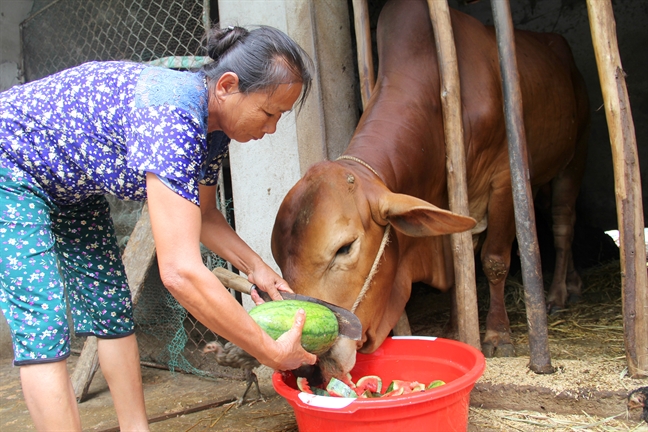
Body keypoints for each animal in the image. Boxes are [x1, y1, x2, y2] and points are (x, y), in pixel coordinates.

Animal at [270, 0, 588, 372]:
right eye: (277, 258)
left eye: (344, 248)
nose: (305, 362)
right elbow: (458, 265)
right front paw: (455, 327)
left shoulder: (503, 181)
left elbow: (494, 260)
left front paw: (497, 335)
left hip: (574, 156)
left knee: (563, 226)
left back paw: (558, 294)